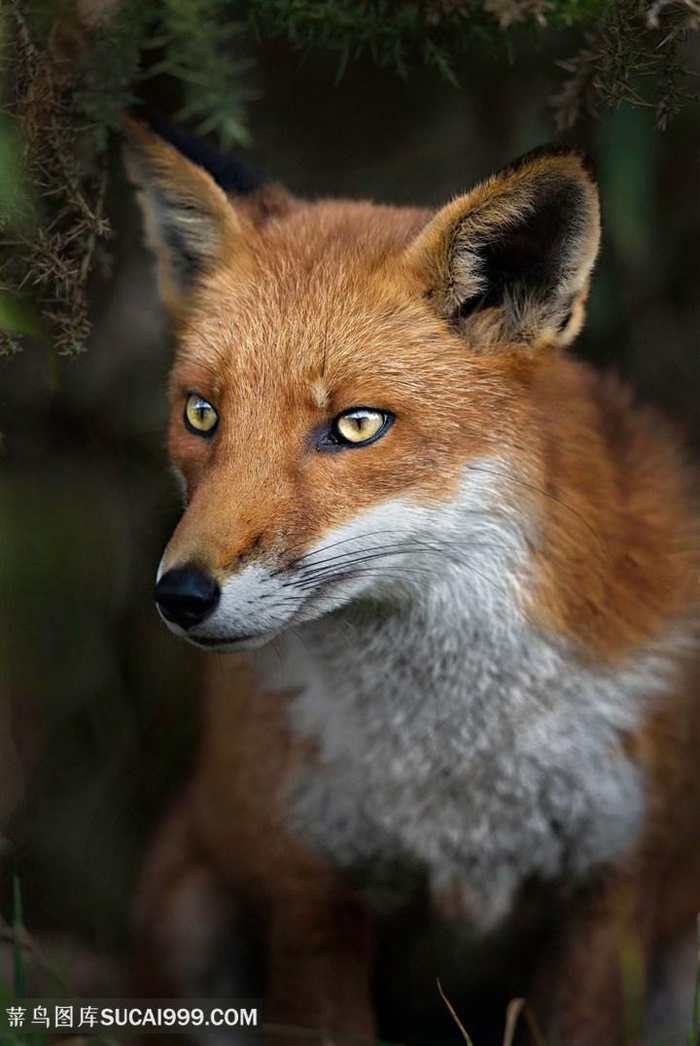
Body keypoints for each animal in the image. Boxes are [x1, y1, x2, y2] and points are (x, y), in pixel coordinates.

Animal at [125, 118, 698, 1046]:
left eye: (357, 426)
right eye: (201, 414)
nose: (180, 595)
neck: (454, 775)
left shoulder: (613, 888)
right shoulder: (311, 889)